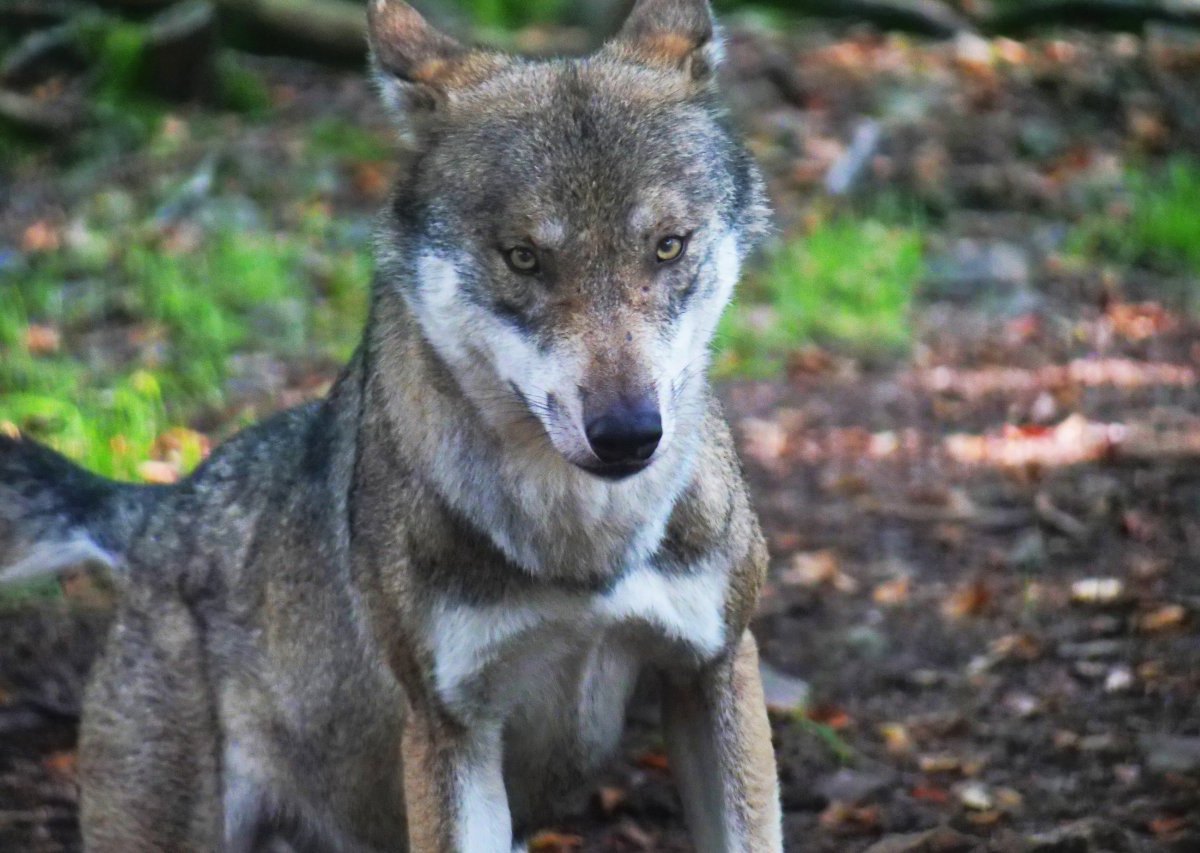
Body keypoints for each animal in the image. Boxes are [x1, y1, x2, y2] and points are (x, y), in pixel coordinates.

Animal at [0, 3, 782, 849]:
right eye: (523, 258)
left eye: (668, 246)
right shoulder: (450, 731)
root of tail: (153, 511)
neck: (582, 548)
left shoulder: (716, 668)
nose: (630, 433)